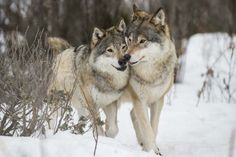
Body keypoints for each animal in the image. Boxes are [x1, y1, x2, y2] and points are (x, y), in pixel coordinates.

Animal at [123, 4, 177, 155]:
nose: (126, 57)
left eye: (142, 41)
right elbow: (147, 129)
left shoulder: (158, 100)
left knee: (132, 114)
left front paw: (153, 150)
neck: (149, 74)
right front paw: (152, 151)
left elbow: (153, 128)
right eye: (129, 39)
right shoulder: (139, 100)